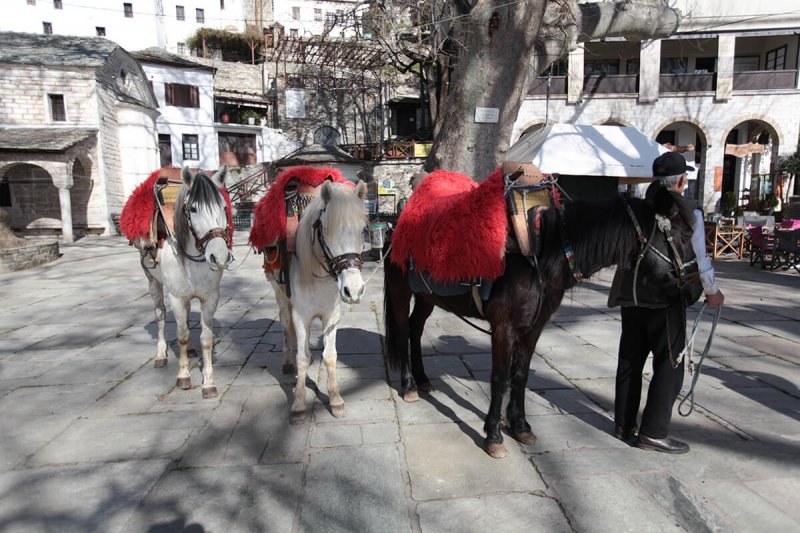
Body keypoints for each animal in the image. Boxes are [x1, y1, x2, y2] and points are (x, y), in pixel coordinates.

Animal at [136, 168, 231, 396]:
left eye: (224, 207)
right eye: (194, 208)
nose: (220, 257)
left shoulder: (210, 298)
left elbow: (206, 338)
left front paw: (209, 382)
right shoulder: (176, 298)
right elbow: (181, 336)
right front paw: (183, 376)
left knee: (187, 318)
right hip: (153, 282)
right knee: (161, 314)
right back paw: (161, 355)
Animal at [268, 181, 368, 422]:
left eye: (363, 230)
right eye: (326, 230)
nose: (353, 290)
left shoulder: (331, 315)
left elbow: (330, 356)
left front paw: (336, 400)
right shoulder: (300, 315)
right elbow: (302, 358)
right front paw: (298, 404)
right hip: (281, 297)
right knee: (285, 325)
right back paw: (287, 363)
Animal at [384, 184, 696, 458]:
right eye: (681, 234)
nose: (694, 286)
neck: (539, 253)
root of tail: (395, 227)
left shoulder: (533, 328)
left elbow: (520, 375)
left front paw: (520, 426)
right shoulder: (504, 328)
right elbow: (499, 378)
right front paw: (494, 436)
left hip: (427, 296)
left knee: (415, 328)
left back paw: (423, 380)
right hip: (401, 292)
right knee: (402, 329)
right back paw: (409, 386)